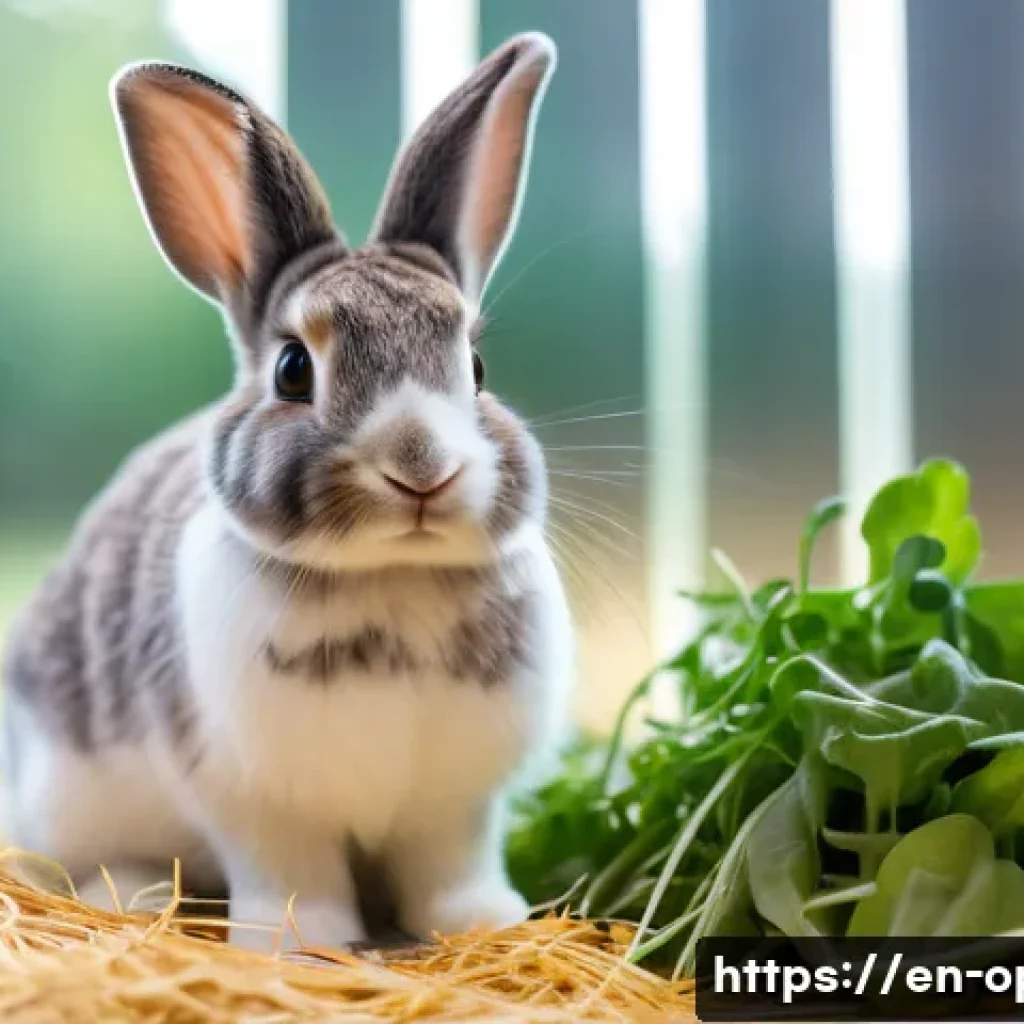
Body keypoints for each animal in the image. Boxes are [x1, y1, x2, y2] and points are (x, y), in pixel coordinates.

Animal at [0, 32, 573, 951]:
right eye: (293, 369)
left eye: (478, 369)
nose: (420, 466)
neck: (392, 581)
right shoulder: (258, 807)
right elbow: (296, 876)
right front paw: (302, 943)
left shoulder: (455, 810)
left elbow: (450, 872)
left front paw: (486, 923)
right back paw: (139, 898)